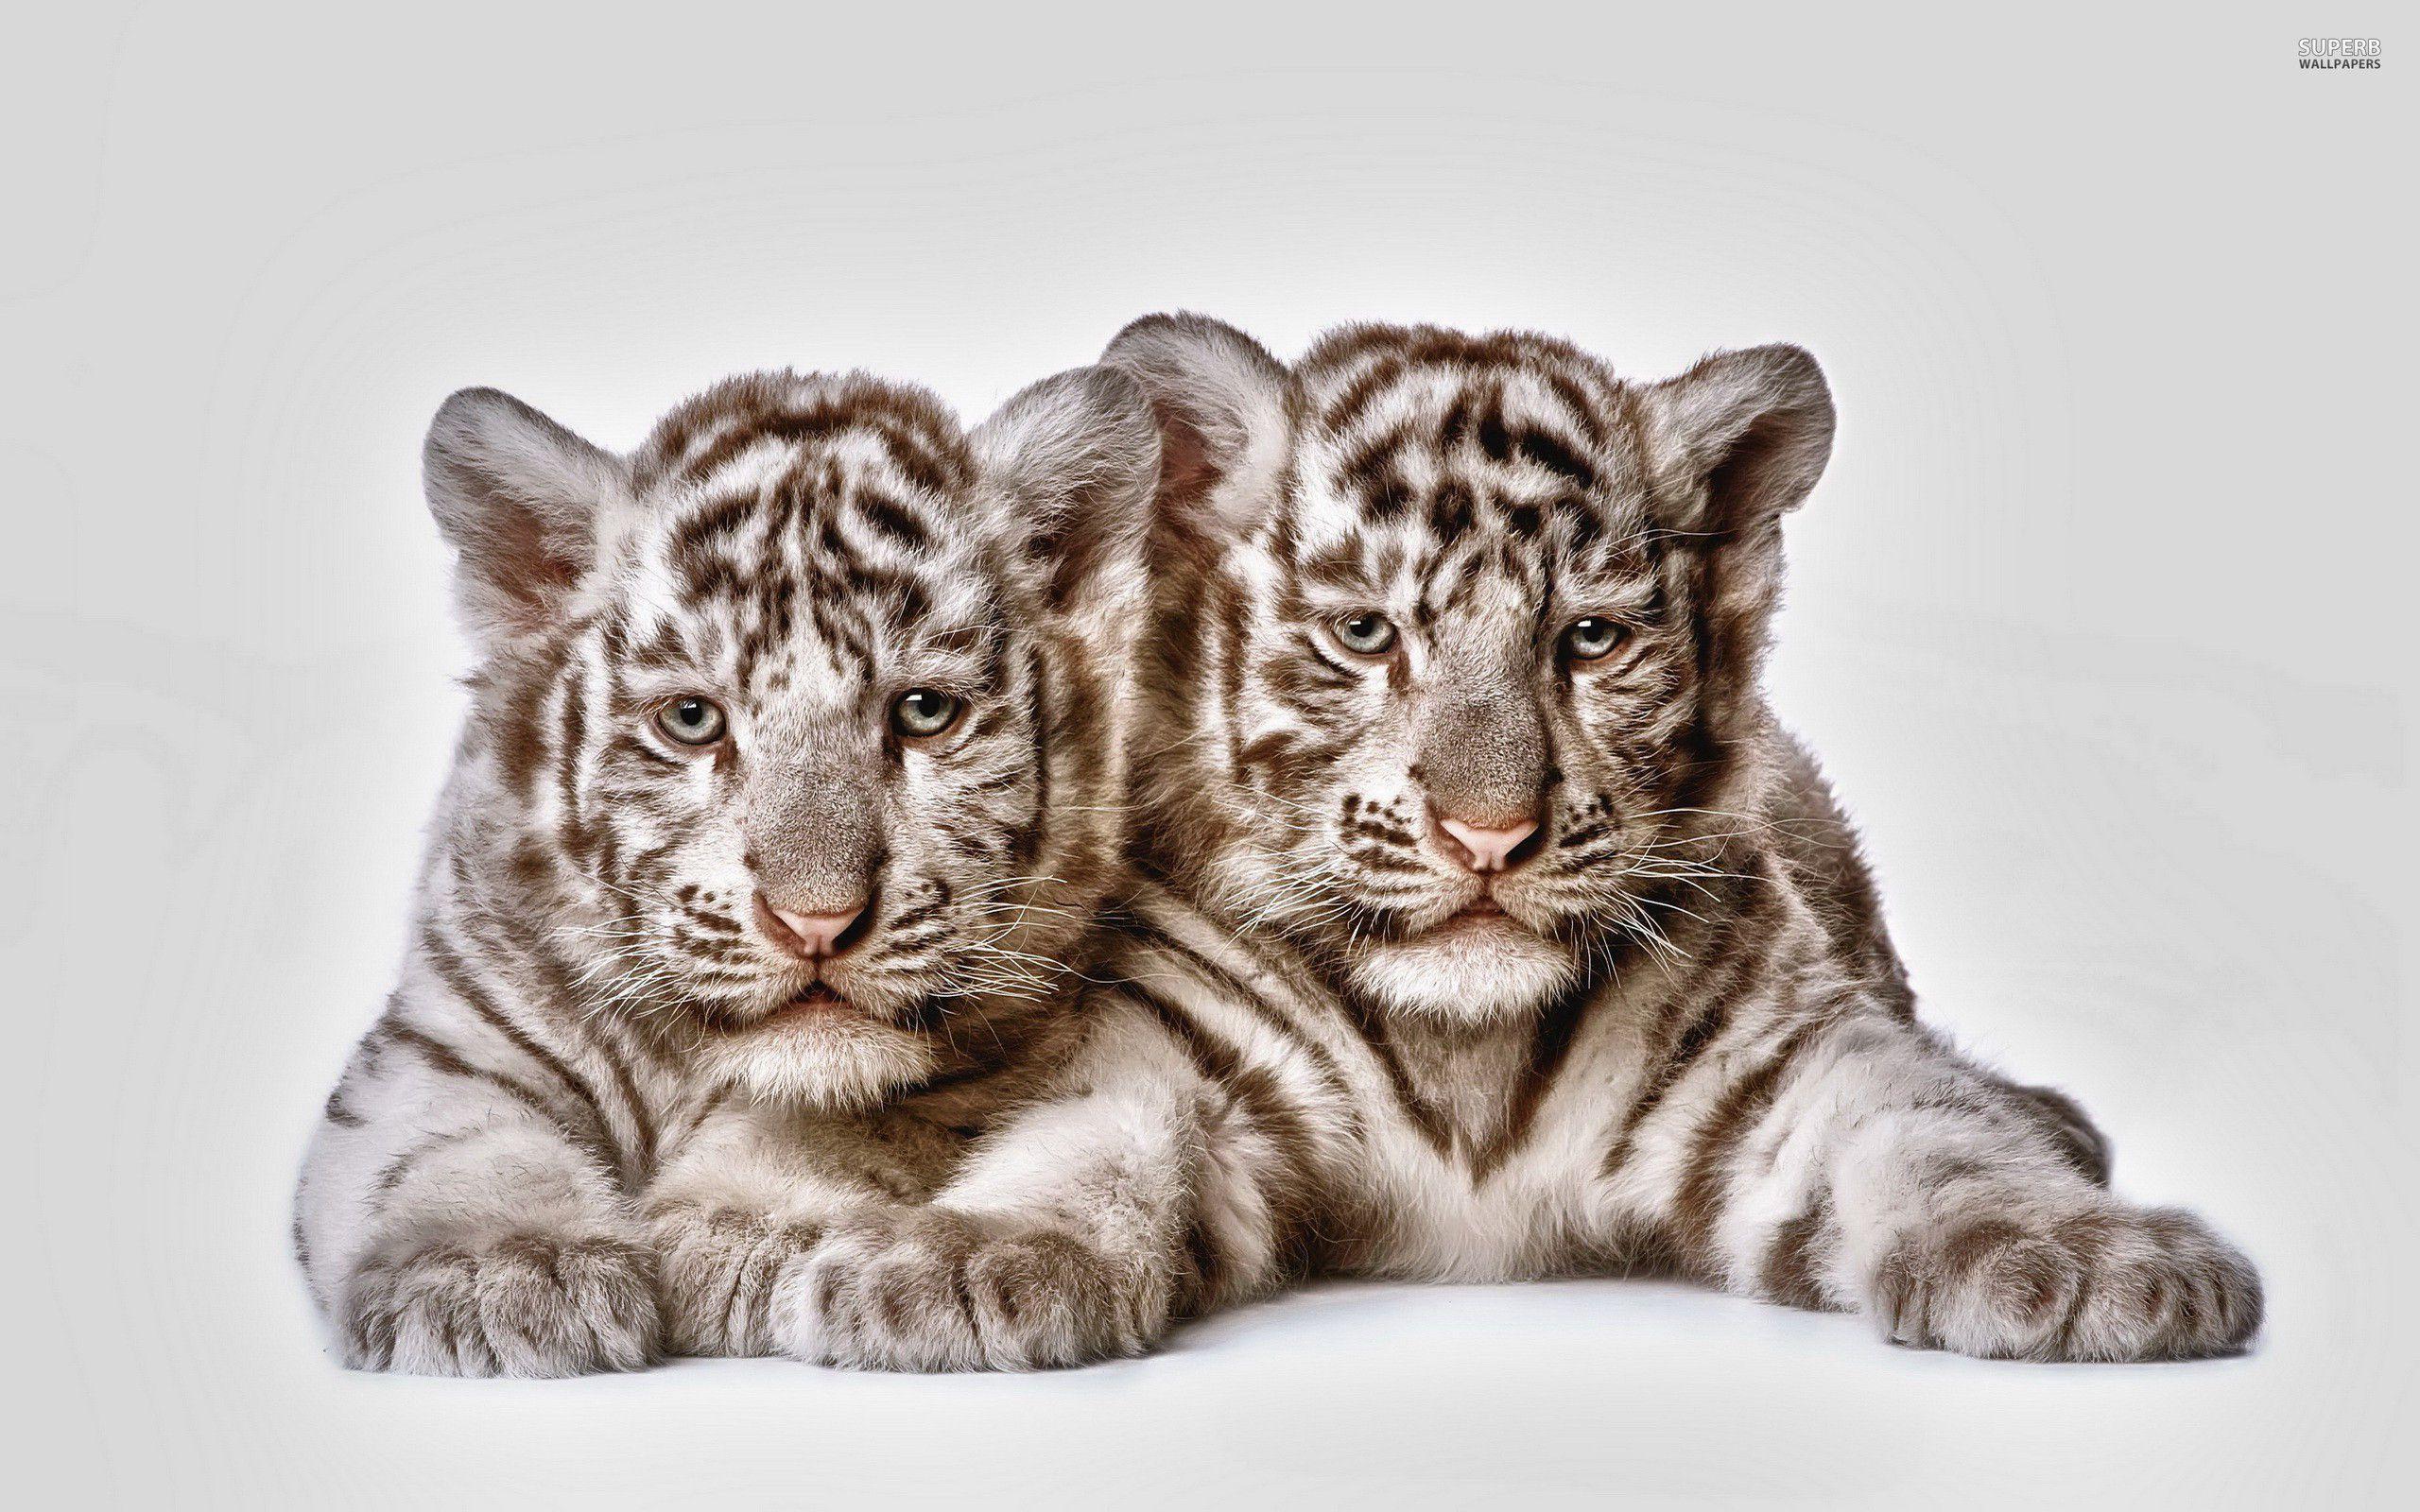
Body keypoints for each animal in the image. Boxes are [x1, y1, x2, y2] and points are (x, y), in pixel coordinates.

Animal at [292, 361, 1273, 1374]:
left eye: (924, 712)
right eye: (692, 720)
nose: (816, 923)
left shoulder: (1004, 1054)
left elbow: (837, 1121)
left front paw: (741, 1233)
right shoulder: (438, 1038)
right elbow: (447, 1143)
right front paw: (497, 1272)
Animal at [1073, 313, 2264, 1362]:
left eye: (1591, 640)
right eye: (1364, 634)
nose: (1488, 835)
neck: (1464, 1049)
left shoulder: (1784, 1056)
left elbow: (1937, 1131)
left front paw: (2095, 1262)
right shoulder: (1178, 1035)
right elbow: (1100, 1127)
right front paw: (1022, 1257)